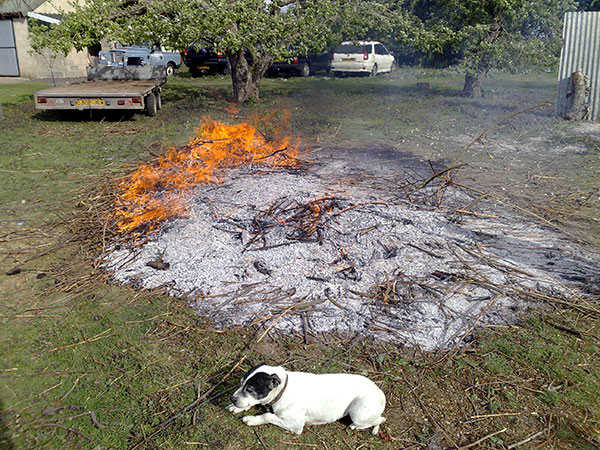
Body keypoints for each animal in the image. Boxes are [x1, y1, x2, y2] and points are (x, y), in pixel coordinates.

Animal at [228, 364, 386, 435]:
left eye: (250, 390)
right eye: (241, 383)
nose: (232, 398)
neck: (283, 389)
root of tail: (380, 392)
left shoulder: (295, 425)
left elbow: (267, 415)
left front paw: (252, 419)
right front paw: (237, 407)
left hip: (358, 413)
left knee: (380, 420)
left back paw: (357, 427)